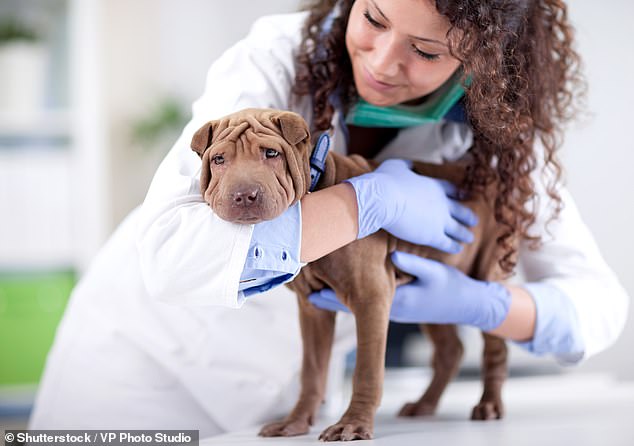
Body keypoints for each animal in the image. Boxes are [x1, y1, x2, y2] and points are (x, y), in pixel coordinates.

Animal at [190, 107, 512, 440]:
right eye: (219, 160)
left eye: (271, 153)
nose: (244, 195)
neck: (318, 182)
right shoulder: (313, 309)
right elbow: (312, 370)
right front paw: (295, 422)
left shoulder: (371, 297)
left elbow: (366, 370)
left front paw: (353, 423)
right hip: (435, 295)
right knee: (451, 349)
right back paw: (424, 405)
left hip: (487, 272)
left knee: (494, 343)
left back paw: (489, 404)